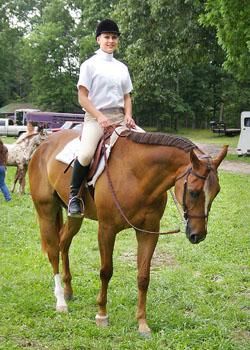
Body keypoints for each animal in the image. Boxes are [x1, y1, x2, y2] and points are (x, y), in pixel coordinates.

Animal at [28, 129, 228, 336]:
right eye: (194, 192)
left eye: (216, 192)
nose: (198, 235)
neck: (136, 174)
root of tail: (44, 144)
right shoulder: (107, 230)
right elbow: (106, 271)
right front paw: (102, 315)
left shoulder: (149, 231)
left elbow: (143, 277)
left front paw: (142, 323)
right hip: (46, 211)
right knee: (53, 251)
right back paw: (60, 302)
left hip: (75, 217)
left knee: (64, 243)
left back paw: (68, 291)